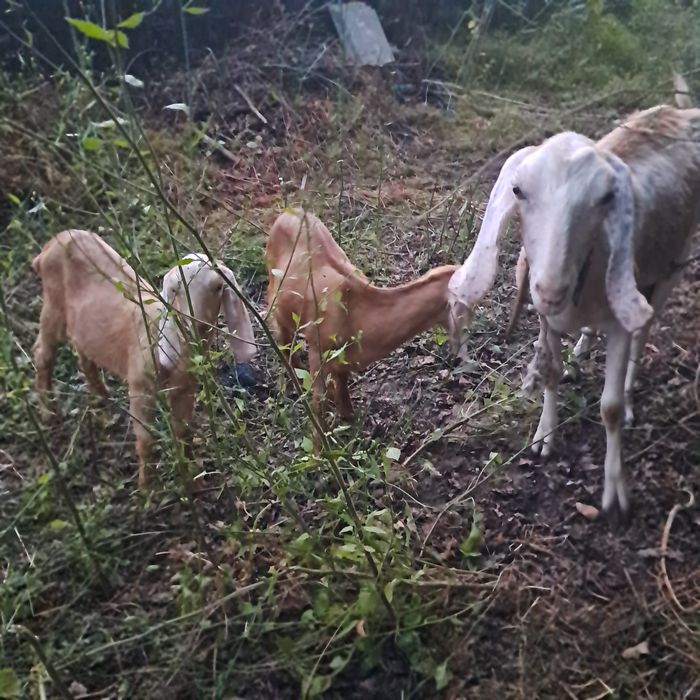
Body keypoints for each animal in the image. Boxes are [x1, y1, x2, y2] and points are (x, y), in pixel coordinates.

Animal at [33, 230, 256, 487]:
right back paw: (48, 414)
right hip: (52, 307)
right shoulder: (141, 385)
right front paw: (146, 489)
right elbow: (146, 439)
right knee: (42, 354)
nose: (193, 322)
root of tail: (49, 246)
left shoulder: (186, 387)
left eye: (219, 287)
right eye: (176, 289)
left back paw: (102, 399)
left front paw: (194, 476)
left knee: (83, 353)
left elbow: (183, 430)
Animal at [265, 210, 459, 436]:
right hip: (274, 294)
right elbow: (319, 406)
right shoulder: (317, 345)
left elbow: (342, 389)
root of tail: (288, 212)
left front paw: (349, 421)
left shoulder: (341, 356)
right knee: (281, 337)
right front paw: (320, 444)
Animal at [449, 98, 700, 525]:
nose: (551, 290)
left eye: (605, 199)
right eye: (518, 190)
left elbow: (609, 407)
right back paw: (581, 350)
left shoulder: (619, 319)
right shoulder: (545, 320)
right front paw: (544, 436)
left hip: (672, 265)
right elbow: (549, 373)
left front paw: (615, 493)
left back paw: (628, 390)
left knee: (643, 333)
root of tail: (679, 112)